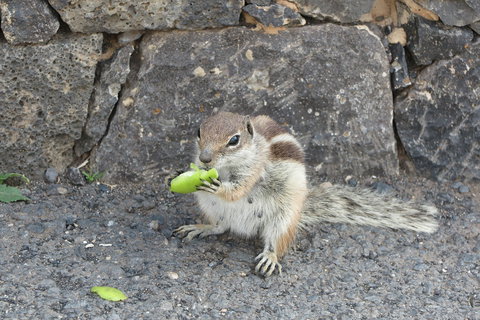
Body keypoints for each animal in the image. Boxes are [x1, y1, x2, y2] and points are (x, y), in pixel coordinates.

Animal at [173, 112, 438, 278]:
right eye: (199, 132)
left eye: (234, 140)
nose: (205, 159)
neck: (226, 169)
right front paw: (176, 173)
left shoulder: (253, 170)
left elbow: (238, 189)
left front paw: (219, 187)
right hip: (210, 207)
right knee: (220, 226)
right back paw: (201, 227)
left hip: (284, 217)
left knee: (275, 241)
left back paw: (270, 257)